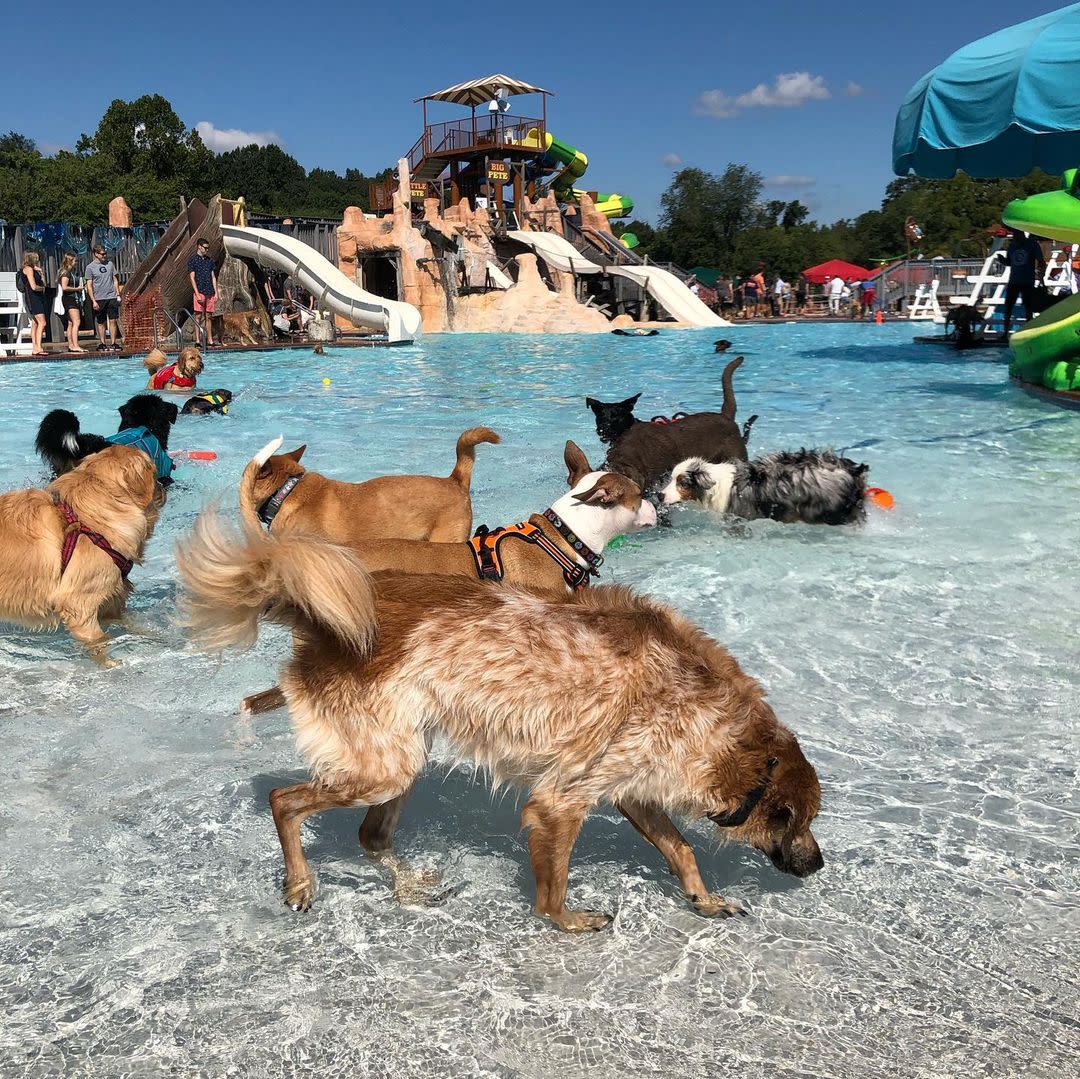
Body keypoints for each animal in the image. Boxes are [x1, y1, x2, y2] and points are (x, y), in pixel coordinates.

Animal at [0, 447, 164, 665]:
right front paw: (111, 664)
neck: (87, 519)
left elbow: (128, 622)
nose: (163, 486)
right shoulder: (79, 604)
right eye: (154, 472)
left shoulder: (111, 601)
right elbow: (99, 640)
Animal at [177, 509, 820, 933]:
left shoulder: (629, 789)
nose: (818, 864)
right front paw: (567, 921)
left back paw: (406, 885)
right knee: (284, 801)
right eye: (796, 820)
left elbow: (681, 850)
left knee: (370, 836)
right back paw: (300, 883)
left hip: (401, 756)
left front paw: (704, 901)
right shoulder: (561, 801)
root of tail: (317, 622)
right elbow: (553, 887)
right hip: (381, 767)